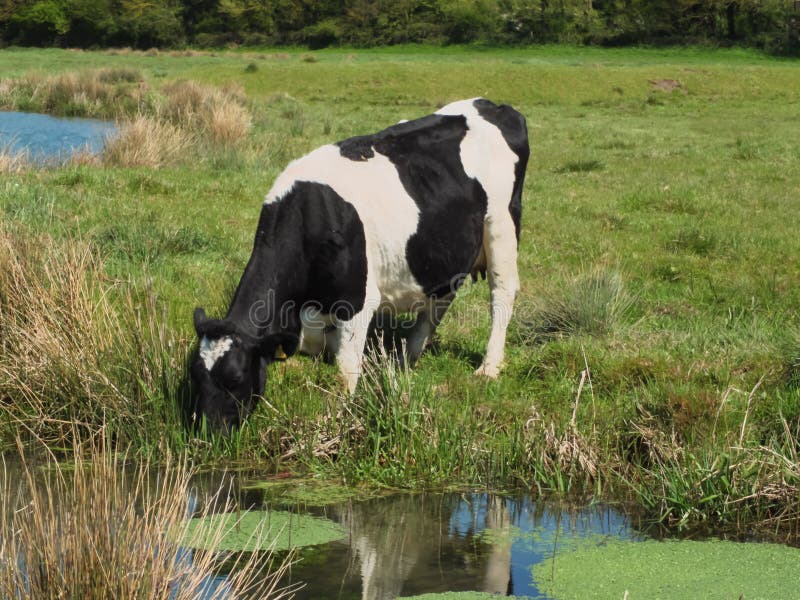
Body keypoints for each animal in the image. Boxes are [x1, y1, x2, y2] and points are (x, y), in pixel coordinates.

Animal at [191, 98, 529, 432]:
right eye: (195, 377)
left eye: (236, 378)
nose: (207, 434)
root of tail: (496, 106)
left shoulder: (357, 302)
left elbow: (346, 370)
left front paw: (340, 415)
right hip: (443, 249)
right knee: (441, 297)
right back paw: (407, 356)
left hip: (501, 226)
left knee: (502, 293)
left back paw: (488, 367)